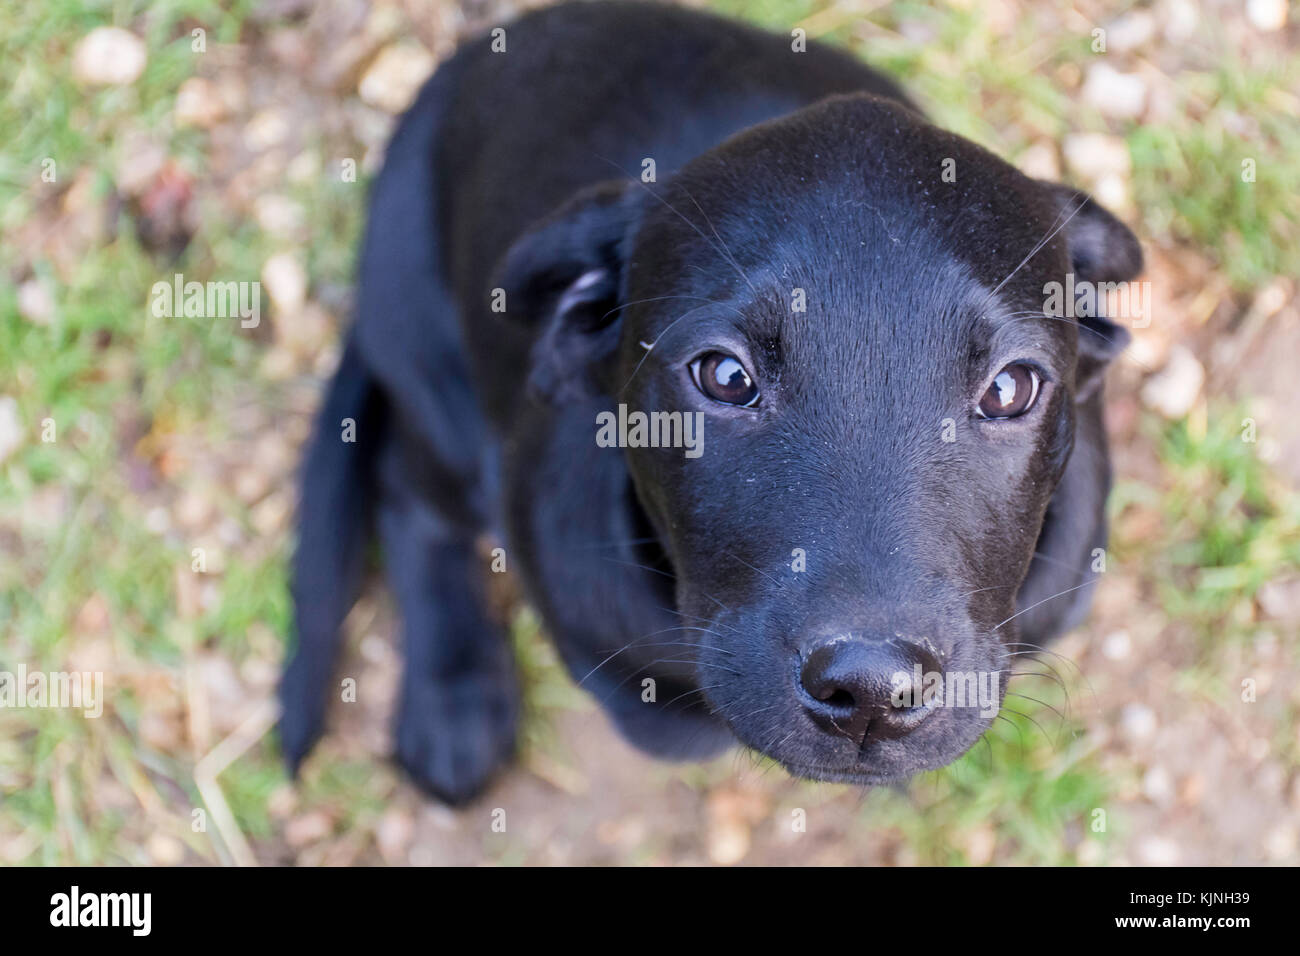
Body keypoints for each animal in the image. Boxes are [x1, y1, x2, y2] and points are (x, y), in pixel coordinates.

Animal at [276, 3, 1138, 806]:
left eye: (1010, 388)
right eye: (724, 376)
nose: (869, 692)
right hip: (426, 358)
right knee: (407, 486)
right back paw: (454, 698)